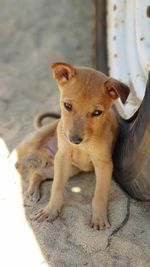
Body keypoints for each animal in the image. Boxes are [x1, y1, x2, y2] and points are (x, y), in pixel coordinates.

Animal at [15, 62, 130, 230]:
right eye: (67, 106)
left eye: (97, 112)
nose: (74, 139)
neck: (84, 145)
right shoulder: (62, 158)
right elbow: (56, 188)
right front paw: (50, 211)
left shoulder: (104, 164)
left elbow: (100, 194)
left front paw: (99, 218)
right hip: (41, 144)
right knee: (18, 157)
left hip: (72, 169)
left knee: (38, 172)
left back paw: (33, 191)